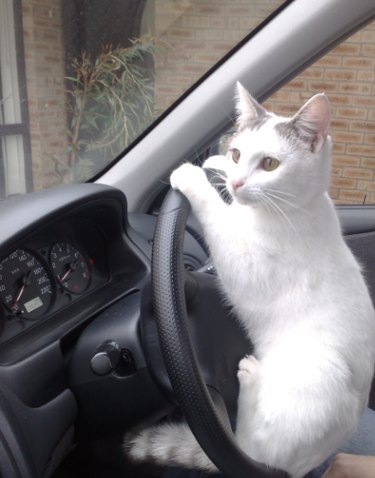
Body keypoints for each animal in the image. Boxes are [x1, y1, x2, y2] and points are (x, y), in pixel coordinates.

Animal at [127, 83, 375, 478]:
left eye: (270, 164)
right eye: (237, 152)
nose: (236, 180)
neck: (300, 207)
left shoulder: (248, 265)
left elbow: (220, 217)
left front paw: (192, 176)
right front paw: (214, 165)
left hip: (312, 383)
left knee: (248, 443)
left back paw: (250, 377)